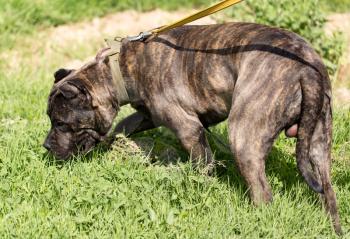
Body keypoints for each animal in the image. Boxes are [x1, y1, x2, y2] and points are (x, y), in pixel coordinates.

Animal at [43, 22, 342, 235]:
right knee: (328, 192)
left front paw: (202, 191)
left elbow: (202, 168)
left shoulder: (188, 129)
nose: (46, 145)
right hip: (318, 142)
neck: (118, 70)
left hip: (243, 137)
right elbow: (122, 125)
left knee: (263, 194)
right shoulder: (149, 115)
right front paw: (116, 145)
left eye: (60, 123)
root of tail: (306, 69)